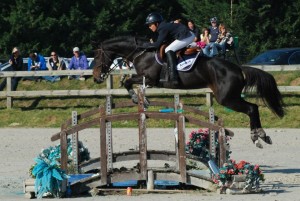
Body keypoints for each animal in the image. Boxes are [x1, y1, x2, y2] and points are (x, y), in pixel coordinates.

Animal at [93, 36, 284, 148]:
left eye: (97, 56)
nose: (96, 78)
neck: (141, 53)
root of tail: (238, 68)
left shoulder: (150, 78)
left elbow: (128, 82)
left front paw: (137, 98)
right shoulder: (146, 79)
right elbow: (129, 81)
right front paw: (141, 99)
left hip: (227, 98)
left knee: (252, 108)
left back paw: (257, 136)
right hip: (230, 97)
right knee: (254, 108)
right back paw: (262, 136)